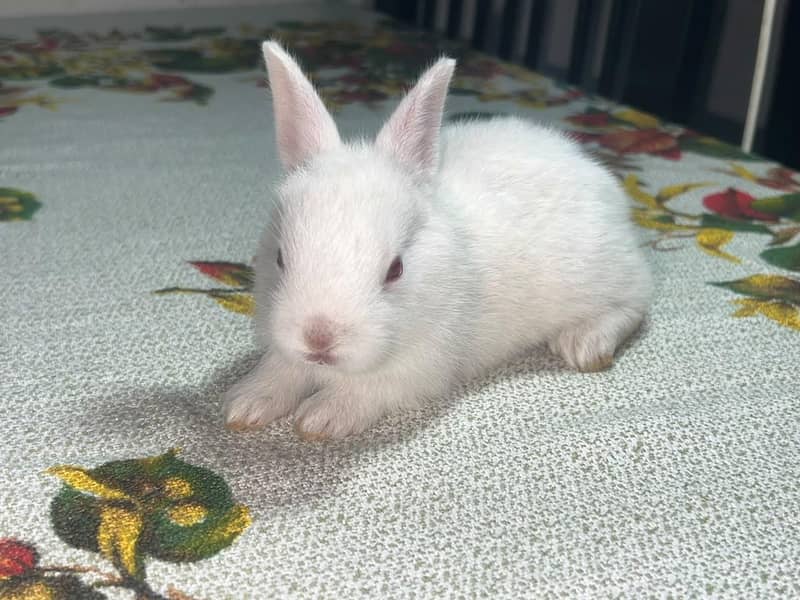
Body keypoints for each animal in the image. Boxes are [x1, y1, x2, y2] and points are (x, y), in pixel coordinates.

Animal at [223, 41, 652, 440]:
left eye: (396, 269)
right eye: (281, 258)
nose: (319, 338)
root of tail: (600, 179)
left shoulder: (419, 368)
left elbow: (366, 391)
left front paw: (320, 419)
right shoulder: (285, 351)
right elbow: (279, 372)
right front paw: (245, 405)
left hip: (606, 273)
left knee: (636, 303)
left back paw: (583, 345)